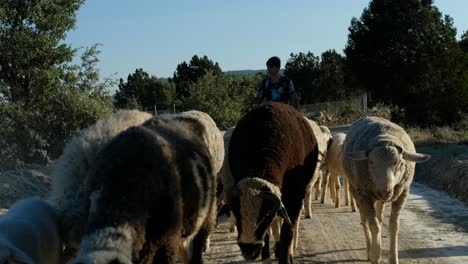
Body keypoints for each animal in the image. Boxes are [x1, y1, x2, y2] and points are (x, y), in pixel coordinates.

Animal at [342, 116, 430, 262]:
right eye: (371, 162)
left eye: (399, 163)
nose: (385, 191)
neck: (385, 137)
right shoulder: (365, 195)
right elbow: (373, 225)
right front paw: (375, 255)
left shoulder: (402, 194)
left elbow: (394, 226)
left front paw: (393, 258)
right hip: (356, 190)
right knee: (365, 219)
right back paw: (369, 248)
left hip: (379, 197)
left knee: (379, 216)